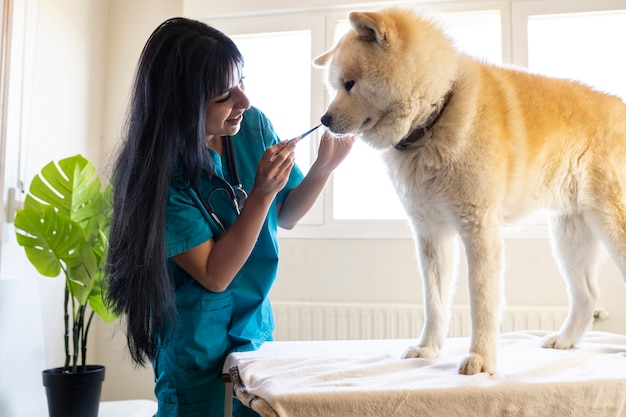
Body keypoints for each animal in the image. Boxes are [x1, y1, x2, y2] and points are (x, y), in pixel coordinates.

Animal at [314, 8, 624, 374]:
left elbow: (481, 301)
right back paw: (565, 340)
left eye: (349, 83)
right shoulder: (431, 235)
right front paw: (428, 348)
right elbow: (435, 302)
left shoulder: (479, 229)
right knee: (587, 294)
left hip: (610, 226)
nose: (324, 120)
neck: (434, 117)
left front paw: (481, 358)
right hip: (569, 235)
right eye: (334, 86)